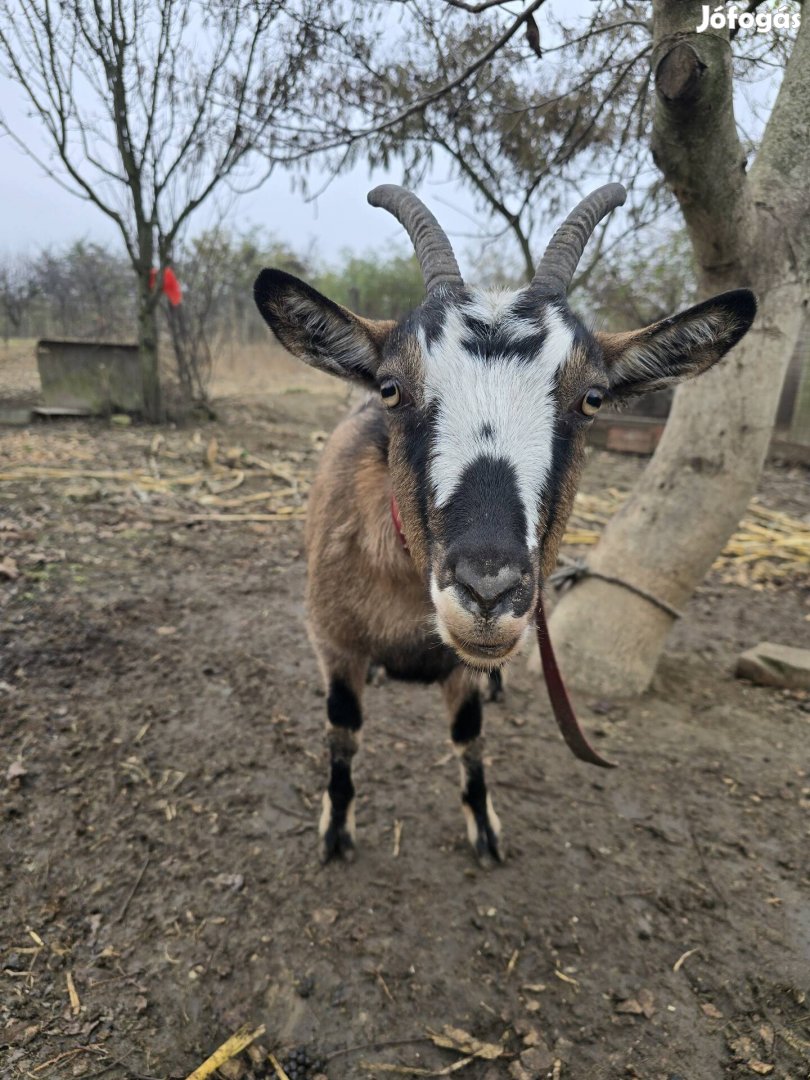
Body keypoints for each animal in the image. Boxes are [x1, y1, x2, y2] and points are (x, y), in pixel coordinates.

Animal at [254, 183, 760, 859]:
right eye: (391, 388)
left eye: (592, 399)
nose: (489, 590)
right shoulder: (332, 640)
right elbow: (343, 732)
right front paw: (336, 829)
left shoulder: (463, 670)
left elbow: (469, 735)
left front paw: (485, 828)